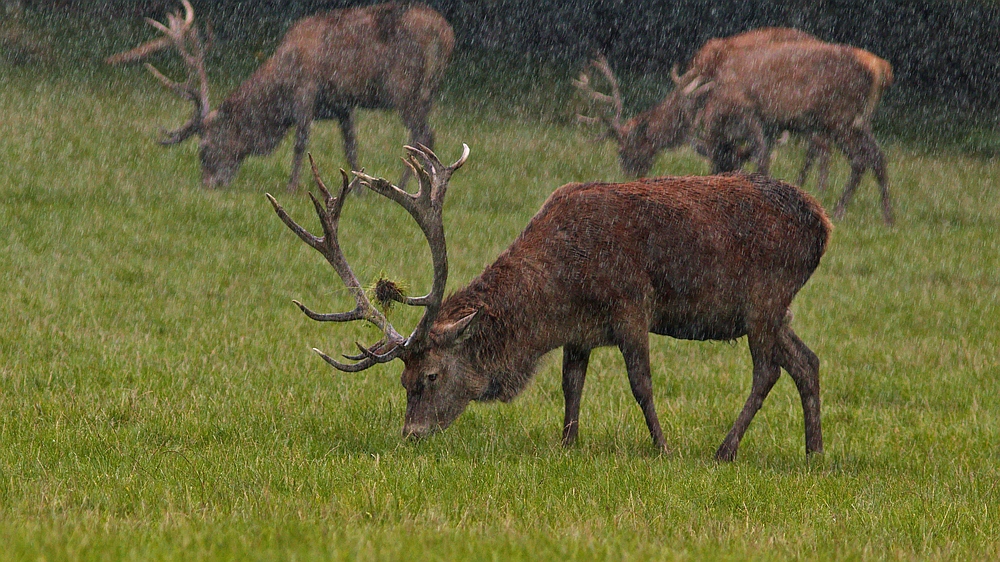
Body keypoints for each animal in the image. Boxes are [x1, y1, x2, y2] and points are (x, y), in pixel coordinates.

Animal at [109, 0, 454, 190]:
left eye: (204, 150)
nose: (208, 184)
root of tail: (447, 34)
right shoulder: (342, 104)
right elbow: (351, 148)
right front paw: (357, 189)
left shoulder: (306, 91)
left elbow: (300, 142)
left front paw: (291, 186)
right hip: (427, 91)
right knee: (426, 136)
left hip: (405, 87)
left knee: (423, 135)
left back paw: (408, 186)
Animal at [270, 145, 832, 460]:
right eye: (402, 381)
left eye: (428, 376)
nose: (411, 435)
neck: (558, 295)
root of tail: (823, 225)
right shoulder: (579, 334)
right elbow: (571, 387)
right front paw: (567, 446)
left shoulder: (631, 303)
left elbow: (641, 384)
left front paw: (663, 448)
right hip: (774, 309)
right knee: (806, 360)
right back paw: (814, 452)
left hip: (765, 295)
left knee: (768, 369)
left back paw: (724, 450)